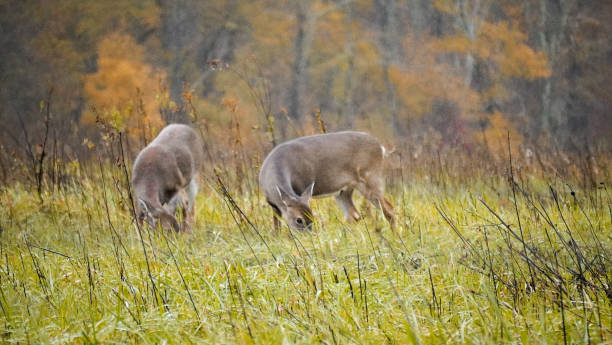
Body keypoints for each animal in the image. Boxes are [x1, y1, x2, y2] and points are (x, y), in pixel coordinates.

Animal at [260, 130, 396, 230]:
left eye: (312, 217)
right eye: (299, 220)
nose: (309, 236)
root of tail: (381, 148)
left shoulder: (300, 188)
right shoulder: (272, 204)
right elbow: (276, 226)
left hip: (370, 177)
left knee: (389, 209)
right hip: (344, 191)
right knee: (353, 215)